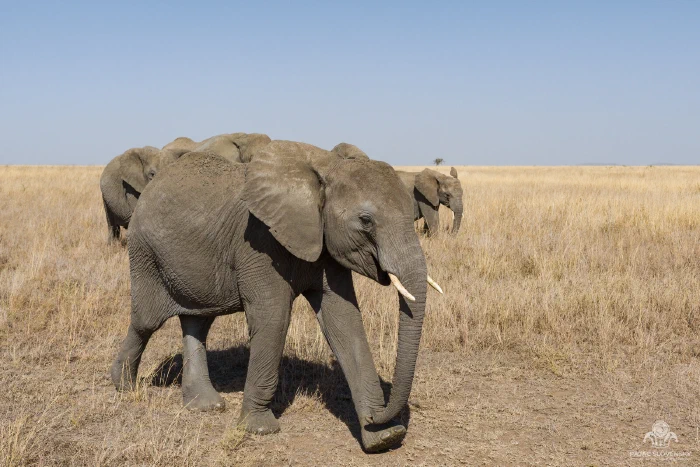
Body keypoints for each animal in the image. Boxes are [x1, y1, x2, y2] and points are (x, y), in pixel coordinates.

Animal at [111, 141, 443, 452]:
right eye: (365, 220)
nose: (379, 416)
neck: (325, 169)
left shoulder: (324, 244)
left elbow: (344, 322)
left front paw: (383, 438)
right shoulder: (259, 243)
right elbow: (274, 319)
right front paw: (259, 429)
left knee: (198, 322)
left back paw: (205, 406)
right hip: (145, 253)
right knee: (146, 321)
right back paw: (124, 387)